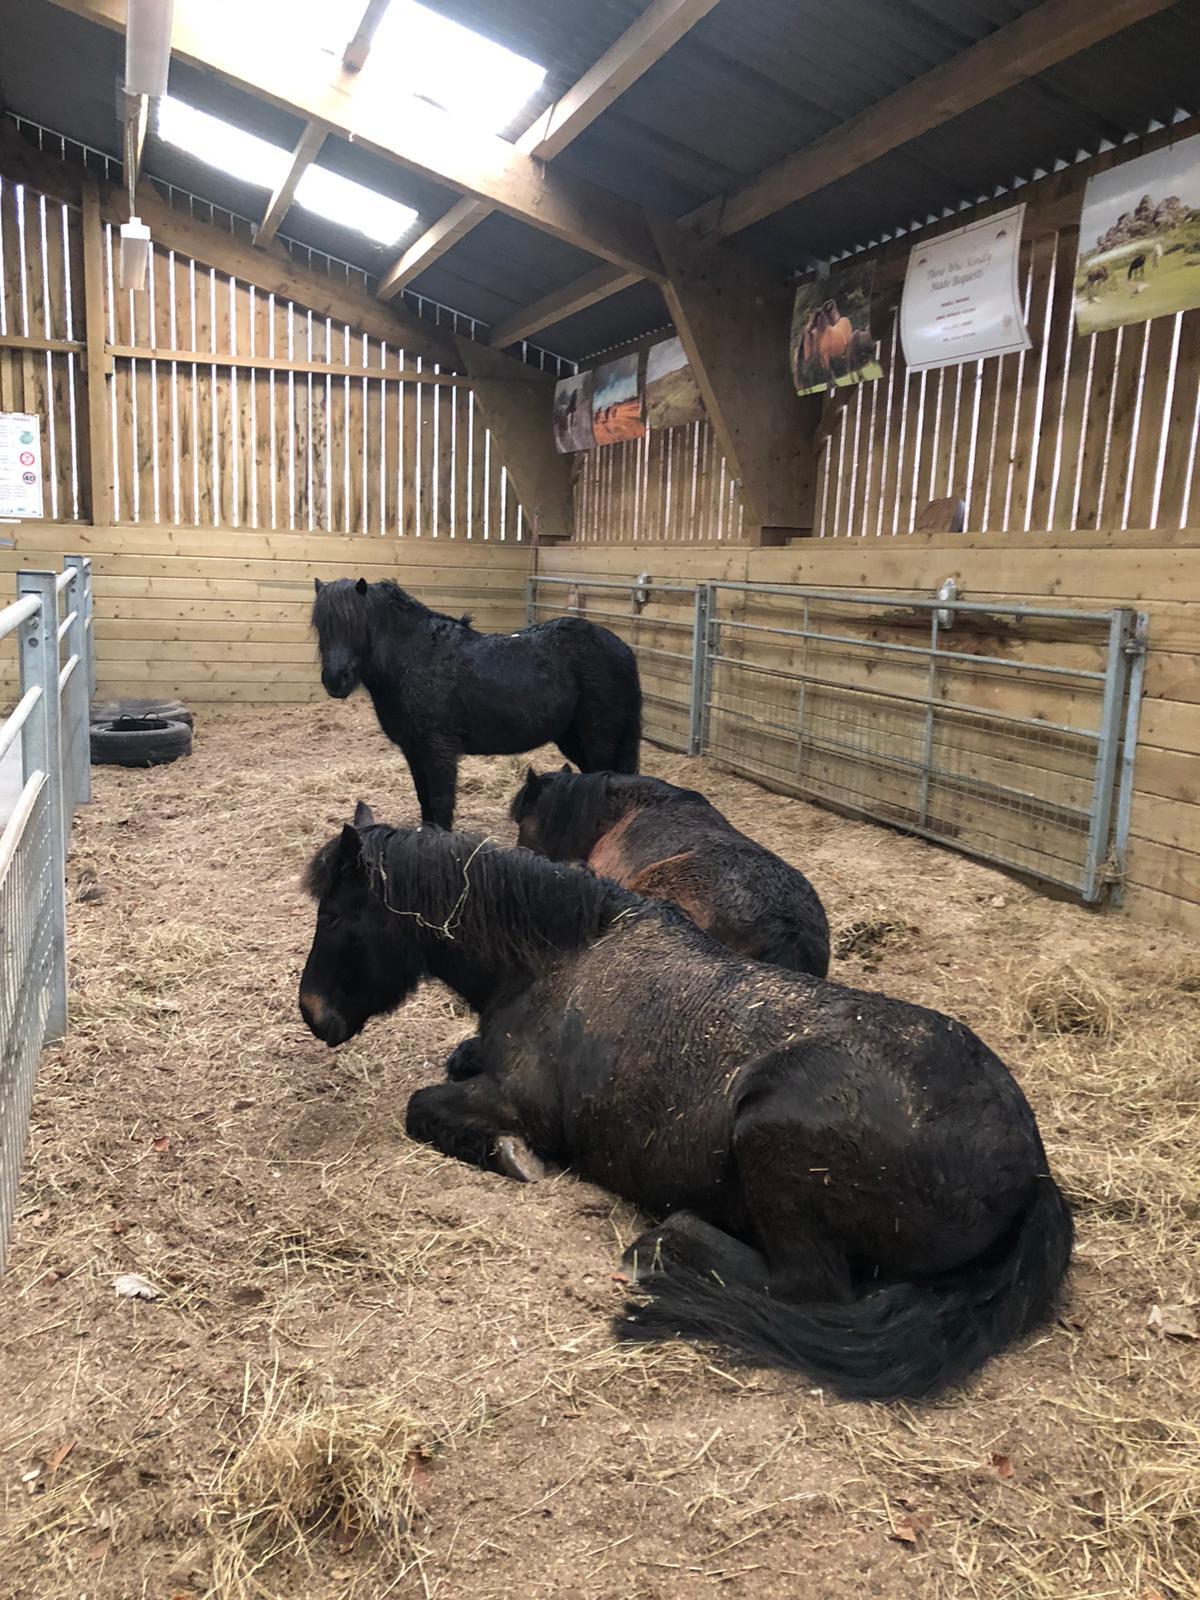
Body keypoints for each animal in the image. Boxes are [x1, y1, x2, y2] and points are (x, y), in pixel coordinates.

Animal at [299, 806, 1068, 1408]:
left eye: (336, 914)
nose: (313, 1014)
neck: (557, 962)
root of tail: (1031, 1167)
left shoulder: (520, 1101)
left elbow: (423, 1107)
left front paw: (511, 1155)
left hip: (770, 1138)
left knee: (807, 1285)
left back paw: (667, 1243)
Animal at [315, 576, 643, 825]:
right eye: (320, 626)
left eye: (356, 624)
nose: (335, 679)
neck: (414, 659)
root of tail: (622, 649)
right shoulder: (413, 749)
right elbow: (424, 800)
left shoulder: (439, 750)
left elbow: (440, 802)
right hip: (571, 737)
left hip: (598, 737)